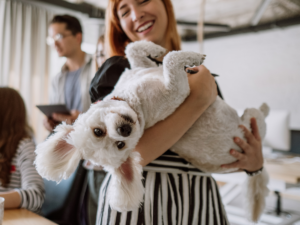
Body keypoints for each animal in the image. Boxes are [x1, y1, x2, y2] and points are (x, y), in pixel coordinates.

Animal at [35, 40, 270, 221]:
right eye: (120, 145)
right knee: (258, 116)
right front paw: (192, 56)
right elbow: (171, 60)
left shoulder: (140, 68)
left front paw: (156, 49)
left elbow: (134, 50)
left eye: (97, 131)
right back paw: (265, 108)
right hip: (251, 122)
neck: (132, 98)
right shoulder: (178, 91)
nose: (124, 130)